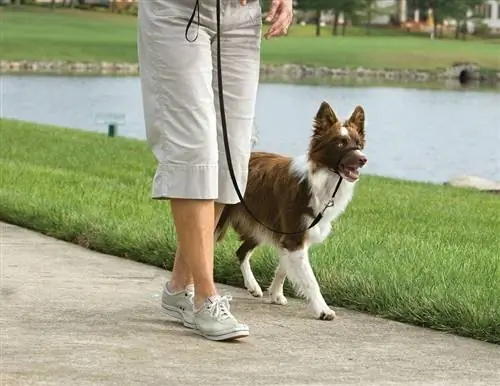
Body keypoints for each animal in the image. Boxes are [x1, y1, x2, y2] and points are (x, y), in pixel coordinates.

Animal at [215, 101, 368, 322]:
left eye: (358, 144)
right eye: (340, 143)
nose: (363, 159)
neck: (320, 180)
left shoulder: (291, 235)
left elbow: (283, 268)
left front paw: (276, 294)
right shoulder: (294, 236)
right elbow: (310, 279)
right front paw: (323, 310)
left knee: (241, 251)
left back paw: (253, 287)